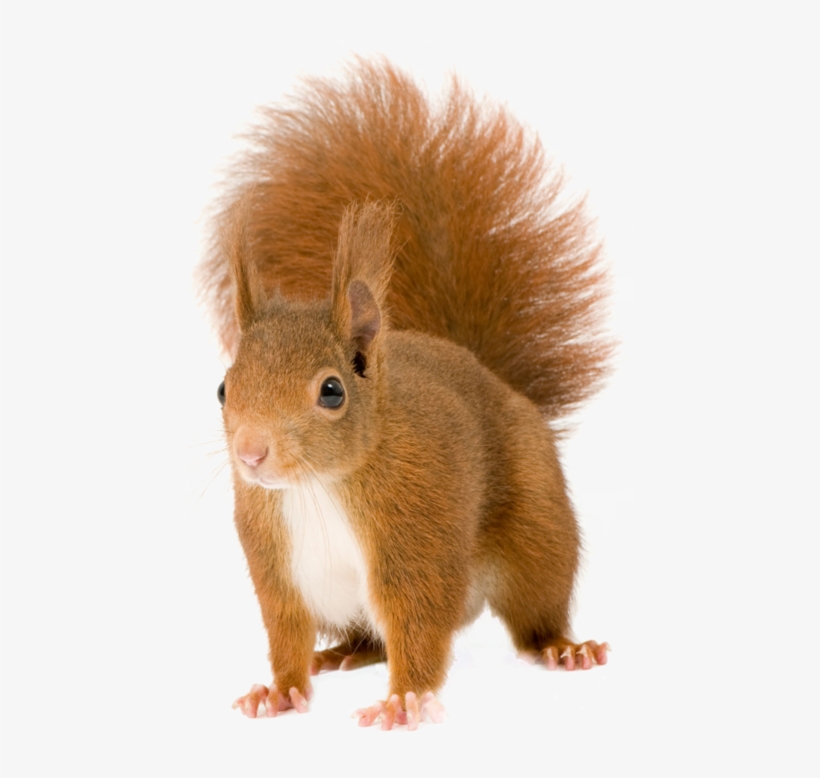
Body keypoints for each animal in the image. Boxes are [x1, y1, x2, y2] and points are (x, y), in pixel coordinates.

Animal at [198, 58, 612, 730]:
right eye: (222, 388)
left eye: (332, 391)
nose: (251, 454)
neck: (319, 487)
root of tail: (483, 371)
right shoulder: (275, 564)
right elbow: (285, 632)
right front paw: (278, 691)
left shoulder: (416, 532)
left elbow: (419, 624)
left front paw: (405, 701)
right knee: (366, 636)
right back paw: (341, 653)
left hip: (538, 533)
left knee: (534, 613)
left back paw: (563, 647)